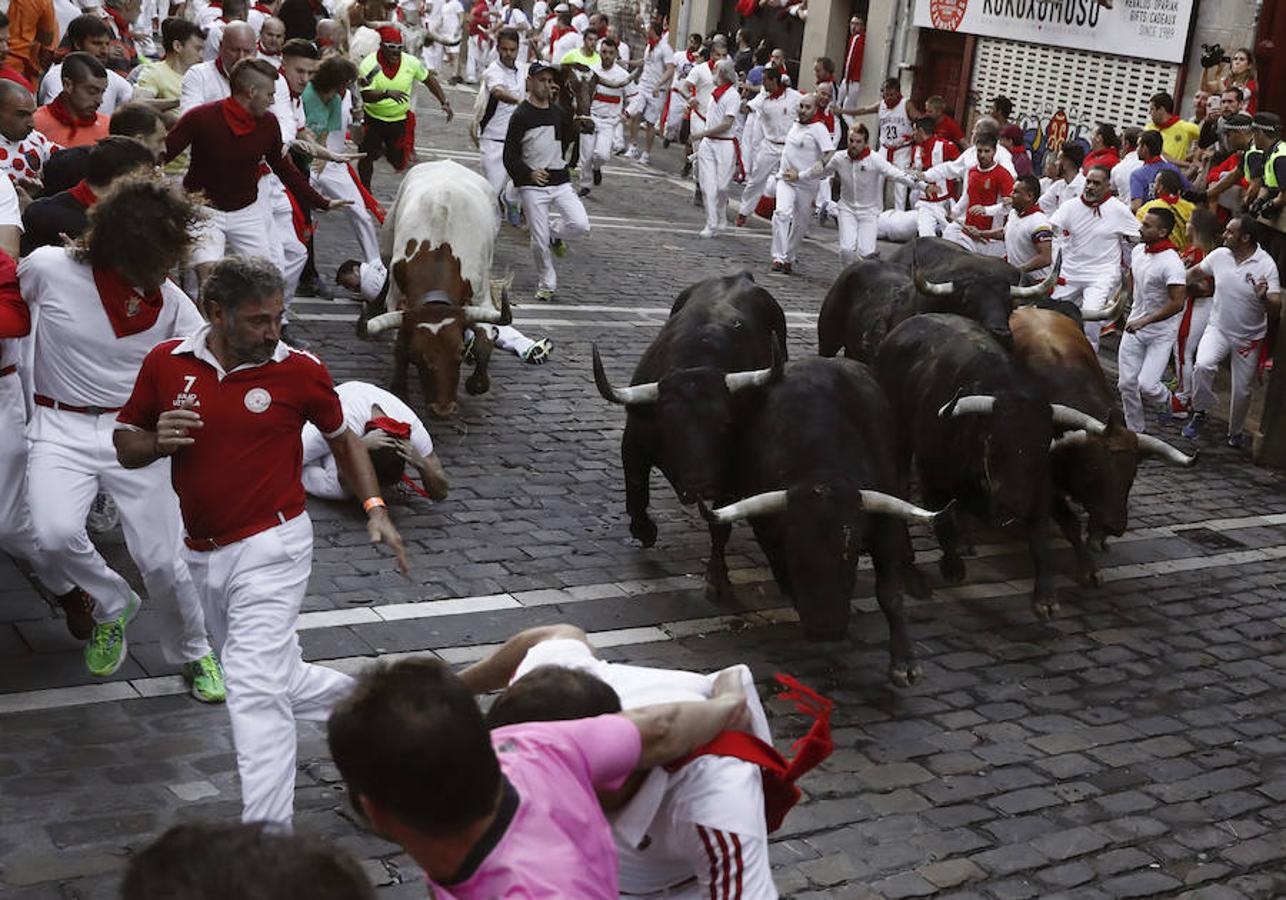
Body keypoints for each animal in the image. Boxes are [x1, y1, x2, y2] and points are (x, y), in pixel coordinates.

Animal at [594, 272, 792, 604]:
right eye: (669, 428)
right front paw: (644, 530)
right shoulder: (633, 445)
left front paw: (717, 578)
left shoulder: (732, 475)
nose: (700, 486)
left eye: (724, 425)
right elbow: (636, 492)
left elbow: (719, 524)